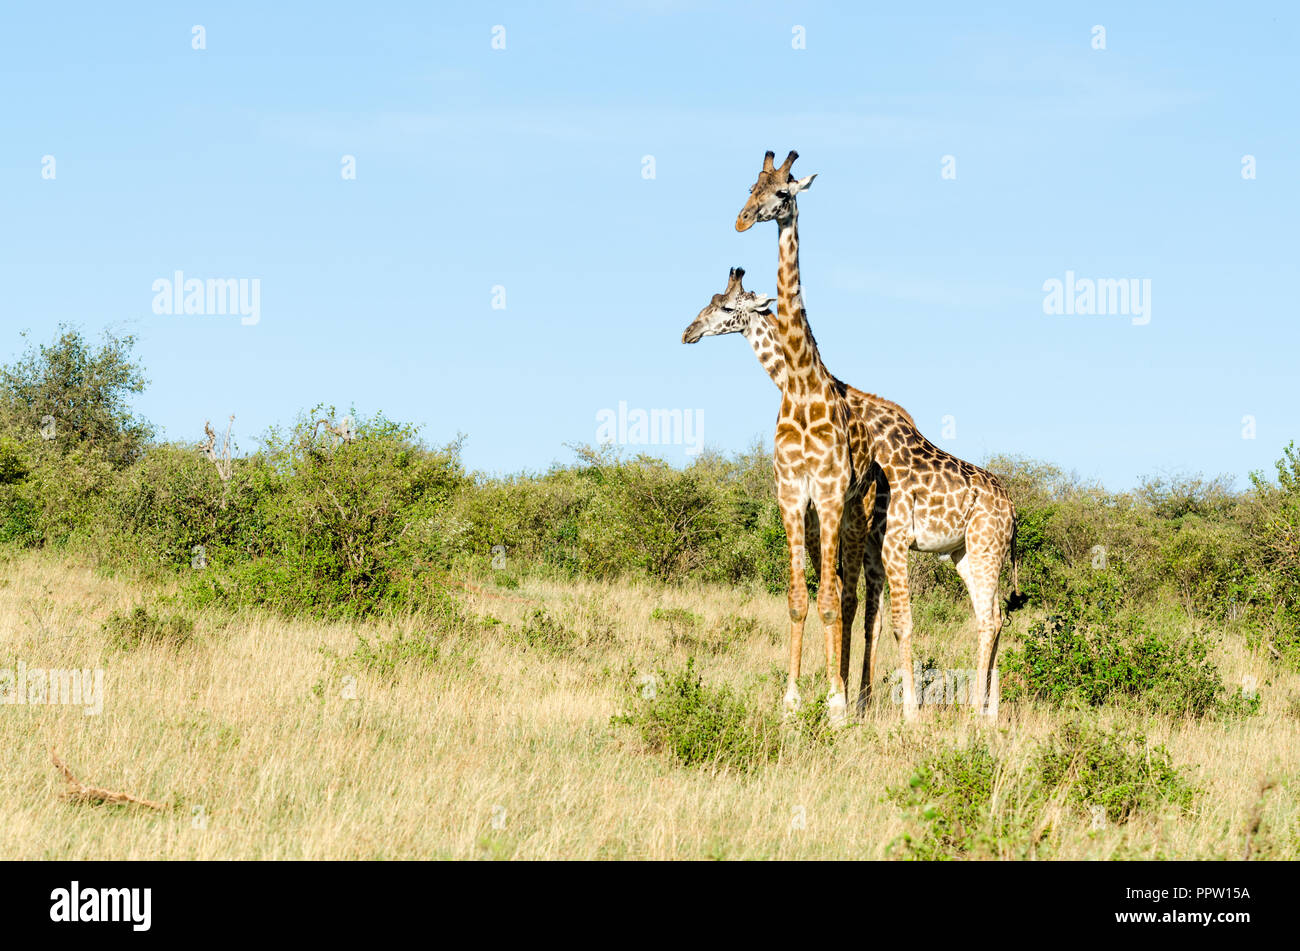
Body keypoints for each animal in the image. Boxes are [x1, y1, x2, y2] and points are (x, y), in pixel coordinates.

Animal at [724, 151, 1019, 721]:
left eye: (782, 193)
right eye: (751, 186)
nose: (742, 220)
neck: (805, 388)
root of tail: (1014, 507)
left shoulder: (871, 525)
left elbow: (868, 611)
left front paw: (876, 707)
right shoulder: (798, 499)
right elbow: (815, 600)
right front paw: (802, 701)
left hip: (982, 545)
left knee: (989, 618)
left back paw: (975, 710)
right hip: (963, 553)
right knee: (990, 615)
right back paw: (985, 709)